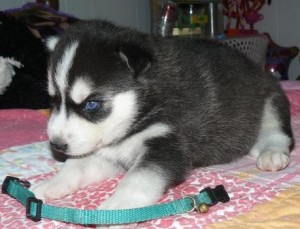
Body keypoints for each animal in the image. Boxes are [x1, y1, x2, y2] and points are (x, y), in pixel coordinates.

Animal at [31, 20, 294, 212]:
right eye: (53, 100)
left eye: (92, 104)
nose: (56, 144)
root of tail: (257, 68)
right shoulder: (110, 152)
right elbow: (76, 166)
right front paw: (52, 183)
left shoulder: (167, 144)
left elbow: (136, 181)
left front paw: (115, 208)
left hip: (271, 98)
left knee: (277, 132)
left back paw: (270, 152)